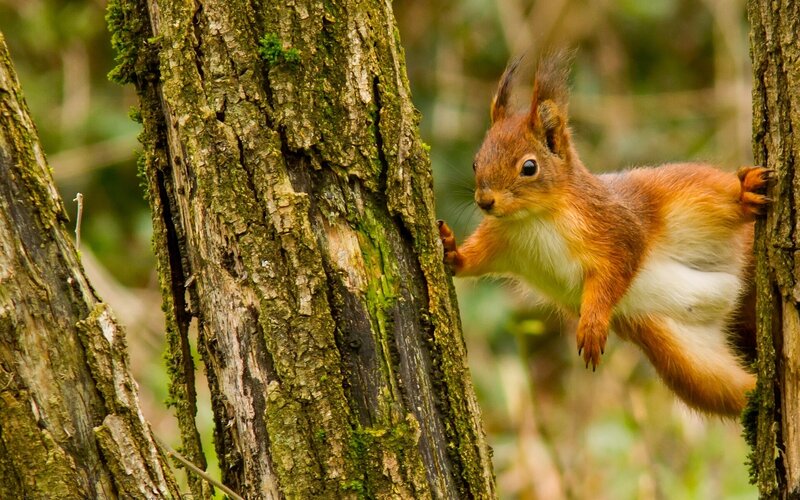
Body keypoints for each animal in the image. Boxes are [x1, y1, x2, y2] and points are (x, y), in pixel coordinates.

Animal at [437, 52, 771, 417]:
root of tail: (736, 281)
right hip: (683, 358)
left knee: (723, 197)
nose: (485, 201)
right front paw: (451, 251)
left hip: (691, 195)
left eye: (529, 167)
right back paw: (756, 395)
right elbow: (475, 261)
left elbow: (616, 270)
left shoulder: (614, 227)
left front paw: (592, 325)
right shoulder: (501, 241)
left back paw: (745, 193)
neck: (533, 219)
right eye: (475, 162)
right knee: (730, 389)